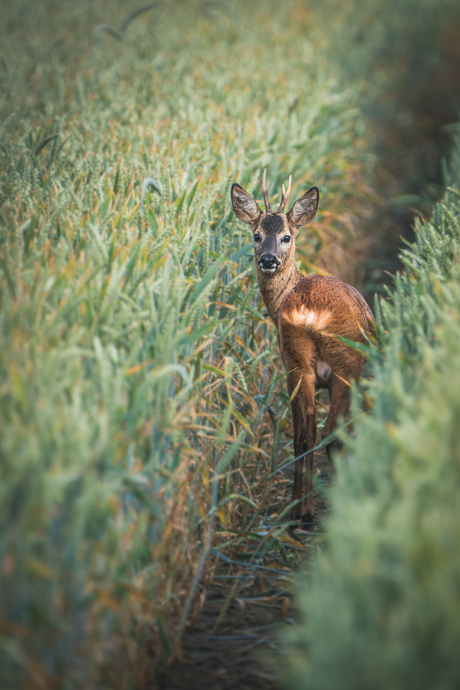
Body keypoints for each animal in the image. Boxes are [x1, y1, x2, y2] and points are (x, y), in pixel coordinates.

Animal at [230, 172, 374, 520]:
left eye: (286, 237)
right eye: (256, 235)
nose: (268, 260)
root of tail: (309, 311)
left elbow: (303, 432)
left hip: (297, 364)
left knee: (306, 434)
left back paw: (300, 511)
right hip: (344, 364)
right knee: (331, 434)